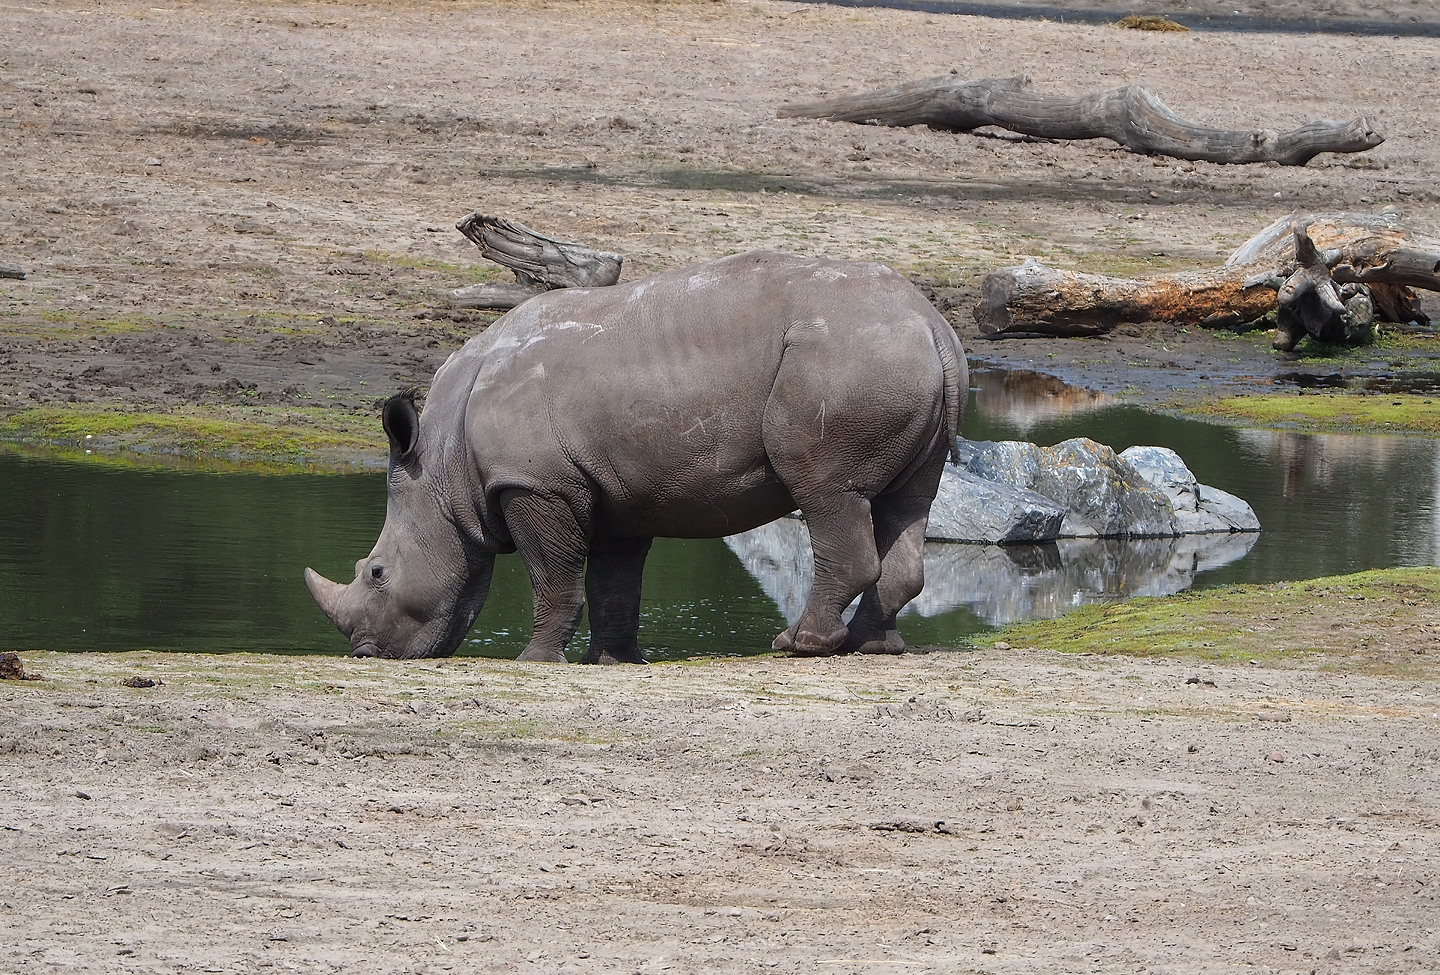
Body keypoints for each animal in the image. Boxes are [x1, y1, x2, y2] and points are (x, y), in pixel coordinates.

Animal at [304, 250, 966, 662]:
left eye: (376, 573)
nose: (366, 652)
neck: (441, 462)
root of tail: (932, 323)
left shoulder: (535, 484)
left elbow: (554, 576)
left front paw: (534, 659)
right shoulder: (613, 493)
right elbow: (613, 582)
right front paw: (613, 660)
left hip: (845, 359)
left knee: (828, 493)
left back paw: (797, 645)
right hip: (888, 356)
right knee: (908, 499)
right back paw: (871, 647)